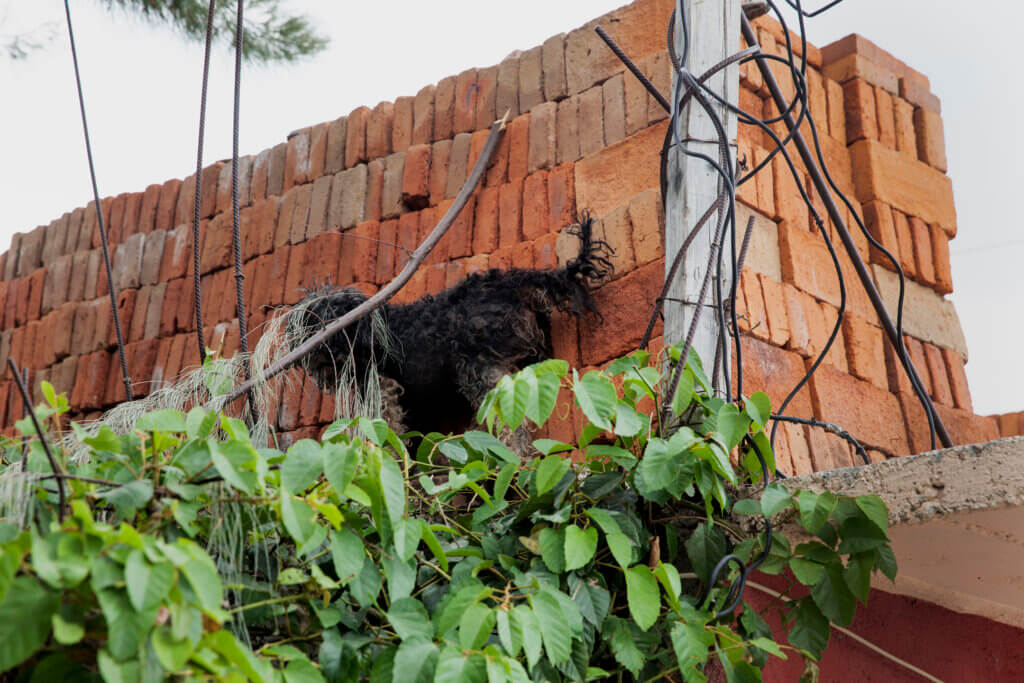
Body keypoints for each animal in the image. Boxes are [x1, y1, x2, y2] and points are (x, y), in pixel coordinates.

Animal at [284, 219, 610, 440]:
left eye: (333, 317)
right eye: (308, 323)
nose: (320, 348)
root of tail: (511, 282)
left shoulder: (384, 391)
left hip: (479, 368)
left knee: (508, 426)